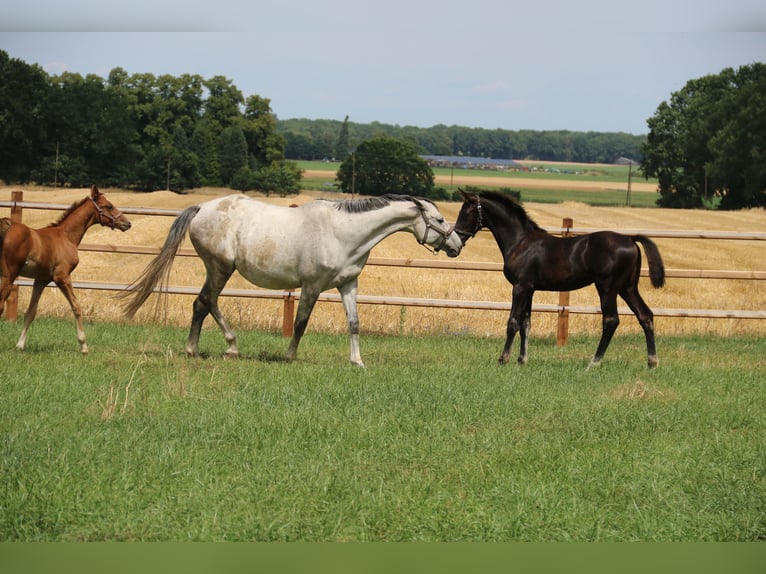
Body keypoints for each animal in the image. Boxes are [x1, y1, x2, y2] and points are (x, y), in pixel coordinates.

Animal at [0, 185, 132, 353]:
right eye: (109, 206)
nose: (127, 223)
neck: (66, 236)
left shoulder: (41, 280)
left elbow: (31, 312)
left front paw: (20, 345)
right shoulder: (62, 277)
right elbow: (76, 307)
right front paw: (83, 346)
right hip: (8, 275)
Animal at [121, 193, 462, 366]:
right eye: (440, 219)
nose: (457, 245)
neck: (343, 231)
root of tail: (202, 208)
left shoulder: (348, 284)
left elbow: (354, 323)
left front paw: (357, 362)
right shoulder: (312, 286)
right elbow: (300, 323)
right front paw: (289, 356)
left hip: (219, 269)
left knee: (206, 303)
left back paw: (221, 348)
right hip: (219, 267)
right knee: (204, 302)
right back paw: (210, 348)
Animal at [454, 190, 666, 368]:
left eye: (467, 212)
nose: (456, 240)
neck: (521, 242)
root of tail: (630, 239)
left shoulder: (520, 287)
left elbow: (513, 322)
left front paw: (503, 359)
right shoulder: (530, 289)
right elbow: (525, 324)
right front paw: (522, 360)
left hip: (607, 288)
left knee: (611, 320)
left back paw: (594, 362)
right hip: (628, 288)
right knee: (645, 315)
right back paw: (652, 362)